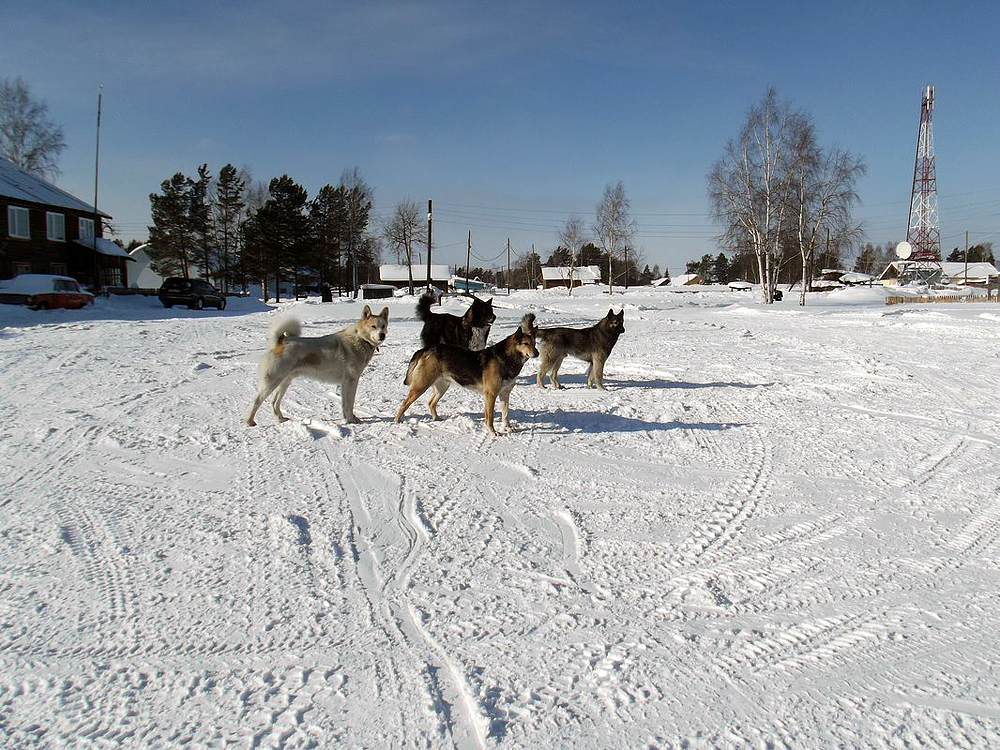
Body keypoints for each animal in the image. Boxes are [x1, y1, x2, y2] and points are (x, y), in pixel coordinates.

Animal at [396, 316, 540, 434]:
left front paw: (509, 428)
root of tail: (426, 349)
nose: (537, 353)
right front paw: (493, 432)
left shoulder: (505, 394)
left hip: (442, 387)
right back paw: (397, 421)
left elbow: (506, 414)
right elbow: (490, 417)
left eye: (535, 343)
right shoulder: (491, 395)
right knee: (404, 404)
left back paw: (437, 418)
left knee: (431, 403)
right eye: (526, 344)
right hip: (420, 386)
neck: (507, 358)